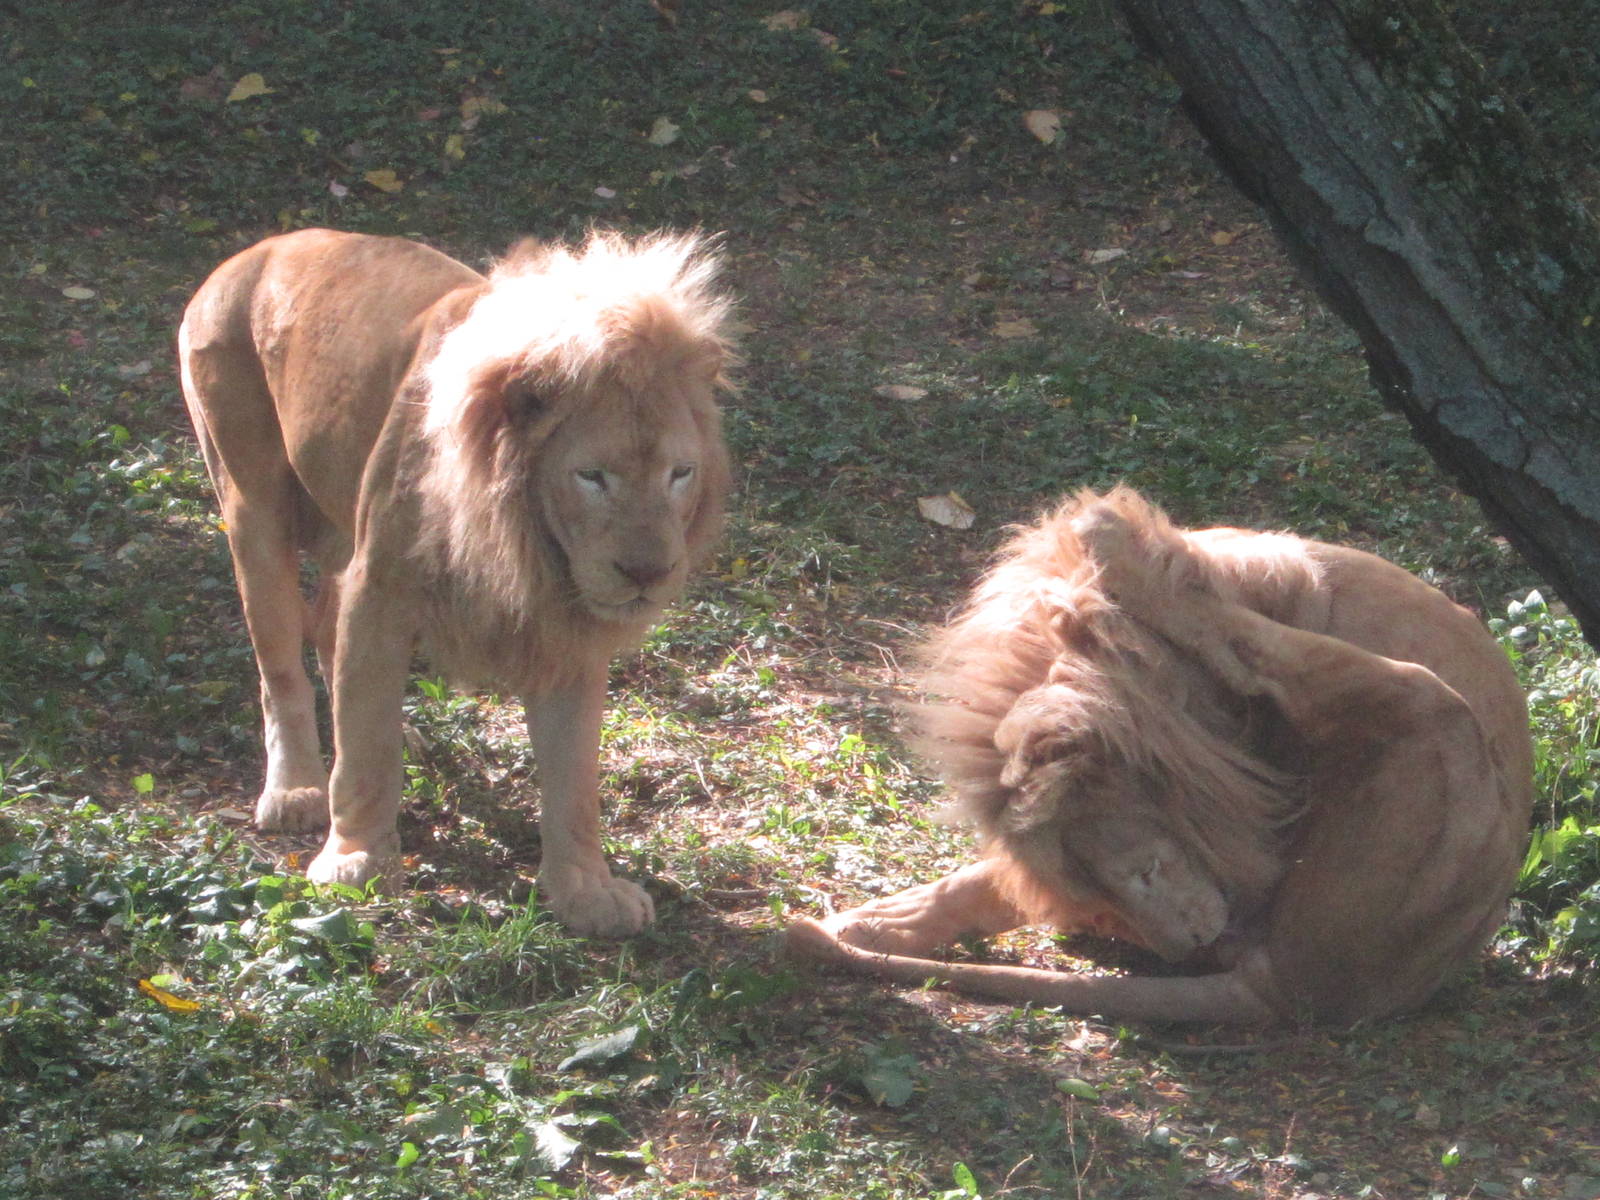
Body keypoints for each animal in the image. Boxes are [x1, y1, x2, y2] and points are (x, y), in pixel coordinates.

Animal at [178, 227, 732, 936]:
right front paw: (356, 861)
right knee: (281, 670)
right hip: (253, 507)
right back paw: (297, 788)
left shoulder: (569, 632)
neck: (527, 541)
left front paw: (586, 890)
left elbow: (574, 778)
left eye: (679, 474)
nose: (647, 572)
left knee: (328, 633)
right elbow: (364, 753)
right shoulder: (380, 590)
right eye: (591, 476)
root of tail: (256, 251)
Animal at [788, 487, 1533, 1025]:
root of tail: (1295, 988)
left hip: (1435, 718)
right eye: (1107, 904)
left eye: (1145, 870)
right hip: (1431, 720)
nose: (1184, 949)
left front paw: (1107, 550)